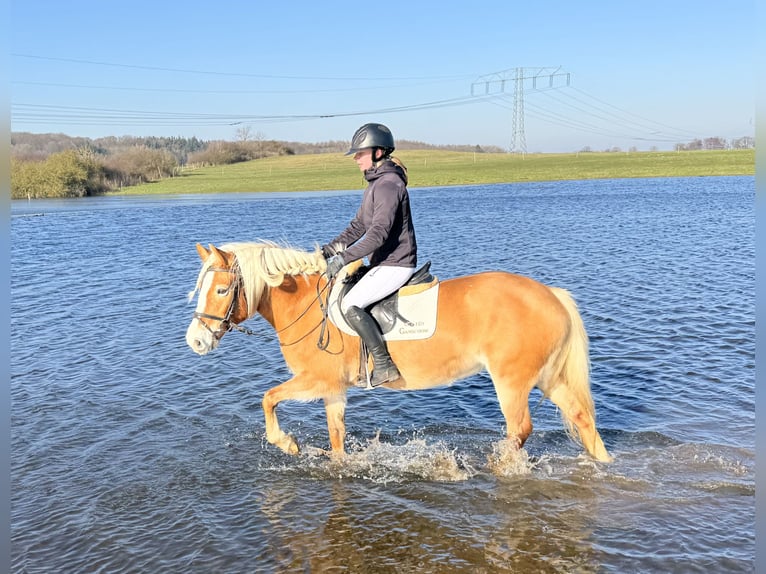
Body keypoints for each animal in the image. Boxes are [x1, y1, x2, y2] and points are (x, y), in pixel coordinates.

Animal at [183, 242, 616, 464]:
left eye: (221, 290)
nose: (196, 342)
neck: (306, 303)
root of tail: (553, 296)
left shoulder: (317, 380)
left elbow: (268, 398)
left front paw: (285, 443)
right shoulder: (334, 389)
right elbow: (336, 437)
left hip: (513, 381)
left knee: (520, 430)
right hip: (547, 377)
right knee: (582, 419)